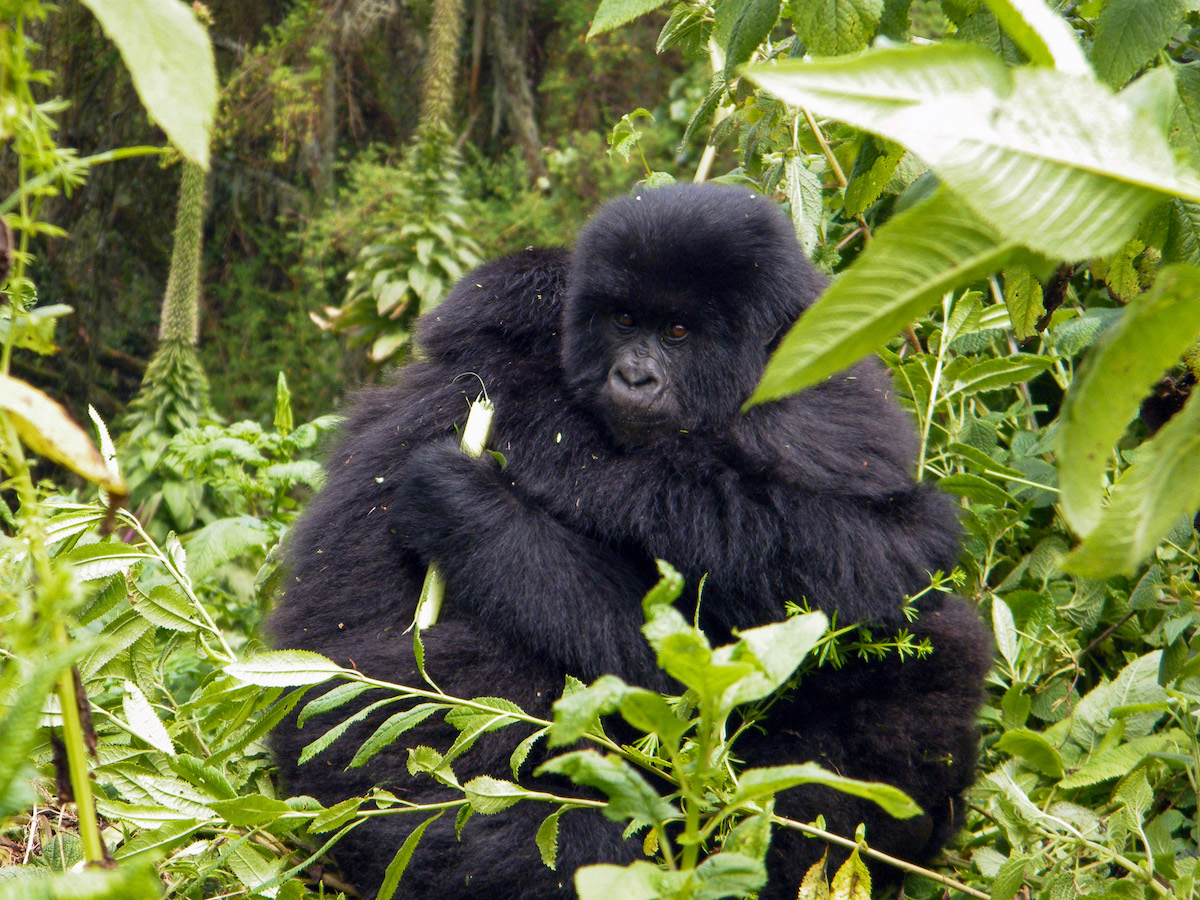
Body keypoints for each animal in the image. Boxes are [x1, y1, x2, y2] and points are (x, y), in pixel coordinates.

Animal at [272, 184, 993, 900]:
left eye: (677, 333)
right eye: (622, 321)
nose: (634, 379)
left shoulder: (824, 412)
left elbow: (878, 557)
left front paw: (482, 503)